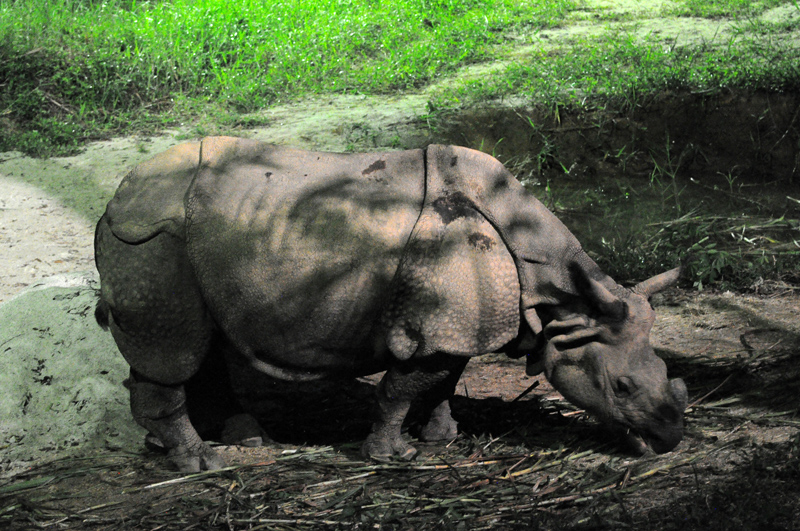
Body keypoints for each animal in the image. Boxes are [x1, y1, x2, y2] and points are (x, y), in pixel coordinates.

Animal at [94, 136, 688, 472]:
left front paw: (443, 437)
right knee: (172, 349)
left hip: (201, 238)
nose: (669, 439)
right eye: (621, 387)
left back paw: (236, 441)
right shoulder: (438, 322)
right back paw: (199, 463)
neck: (560, 297)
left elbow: (443, 379)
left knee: (204, 344)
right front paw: (392, 455)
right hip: (150, 241)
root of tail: (115, 195)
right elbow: (401, 387)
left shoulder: (454, 323)